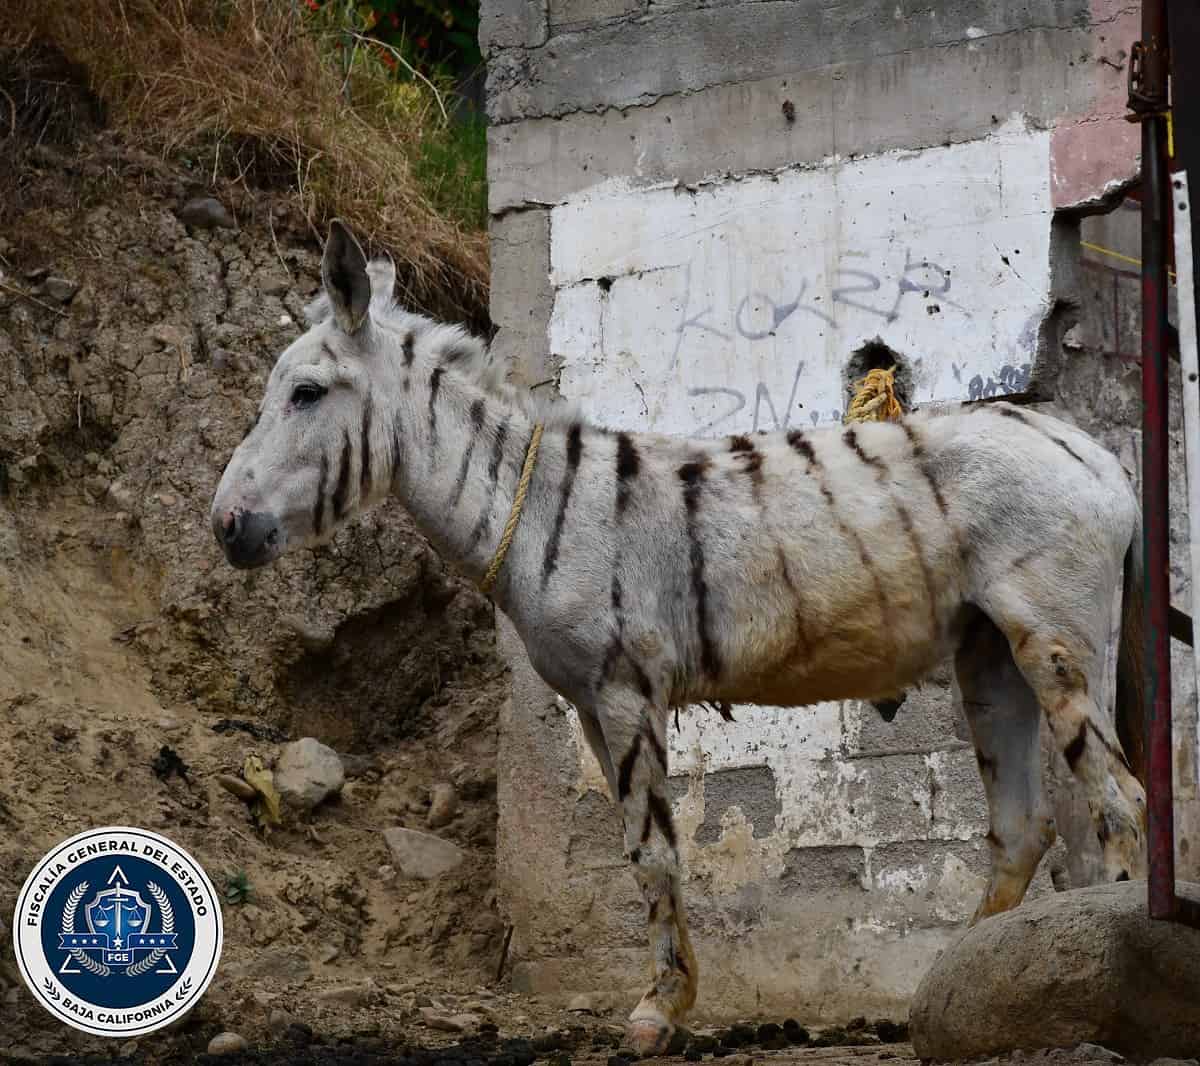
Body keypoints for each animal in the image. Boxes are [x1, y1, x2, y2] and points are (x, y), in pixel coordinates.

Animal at [211, 220, 1148, 1055]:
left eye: (304, 394)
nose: (223, 529)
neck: (540, 505)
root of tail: (1095, 454)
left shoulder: (628, 688)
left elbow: (657, 853)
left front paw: (659, 1012)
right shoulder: (589, 704)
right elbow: (636, 848)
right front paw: (669, 997)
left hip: (1054, 640)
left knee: (1120, 802)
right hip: (988, 655)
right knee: (1025, 827)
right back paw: (947, 990)